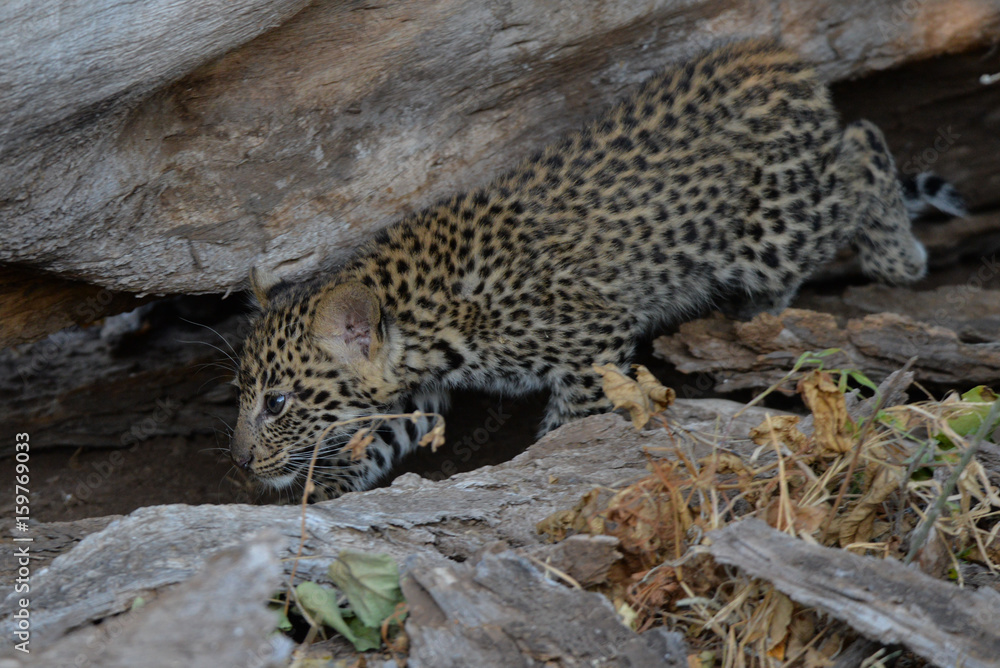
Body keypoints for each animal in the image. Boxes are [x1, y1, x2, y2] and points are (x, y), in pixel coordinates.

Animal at [231, 40, 963, 499]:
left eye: (278, 402)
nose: (239, 459)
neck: (415, 314)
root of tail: (778, 58)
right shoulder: (416, 391)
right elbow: (374, 432)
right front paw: (322, 489)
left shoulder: (591, 342)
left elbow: (572, 421)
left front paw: (544, 464)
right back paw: (762, 310)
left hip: (778, 225)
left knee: (863, 144)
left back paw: (897, 254)